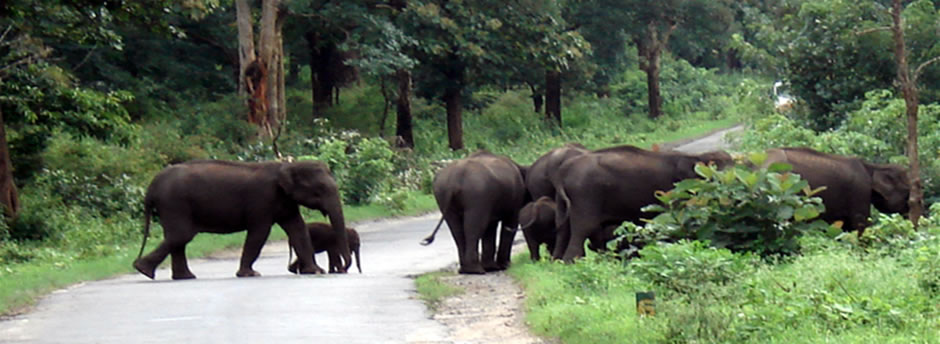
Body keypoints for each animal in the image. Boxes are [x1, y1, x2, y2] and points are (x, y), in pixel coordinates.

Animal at [132, 161, 348, 280]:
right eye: (320, 189)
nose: (342, 270)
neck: (286, 166)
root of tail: (151, 187)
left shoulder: (286, 202)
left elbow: (298, 229)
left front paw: (316, 272)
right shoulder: (262, 199)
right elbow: (260, 232)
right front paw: (250, 274)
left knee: (178, 238)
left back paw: (183, 277)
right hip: (174, 204)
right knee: (182, 235)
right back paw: (143, 270)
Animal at [552, 145, 736, 260]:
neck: (696, 157)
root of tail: (562, 172)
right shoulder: (675, 191)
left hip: (566, 202)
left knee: (563, 231)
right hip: (585, 196)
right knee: (584, 229)